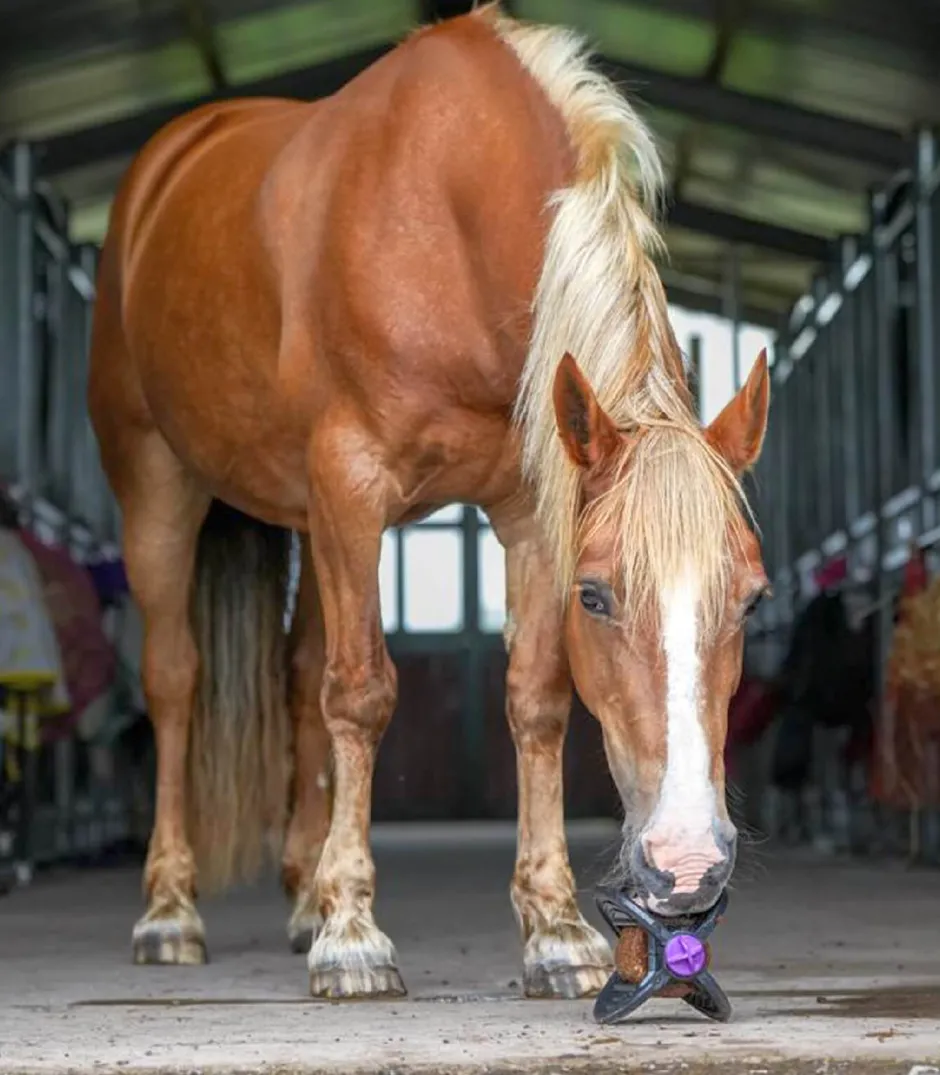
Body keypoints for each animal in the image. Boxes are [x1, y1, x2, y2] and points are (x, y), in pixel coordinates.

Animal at [87, 4, 770, 1001]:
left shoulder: (528, 508)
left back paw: (302, 897)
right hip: (159, 488)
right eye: (597, 595)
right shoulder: (352, 483)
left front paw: (555, 929)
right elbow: (363, 692)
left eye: (752, 600)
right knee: (175, 681)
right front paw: (354, 938)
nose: (687, 864)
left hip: (304, 521)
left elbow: (534, 701)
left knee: (299, 673)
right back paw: (170, 911)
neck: (447, 217)